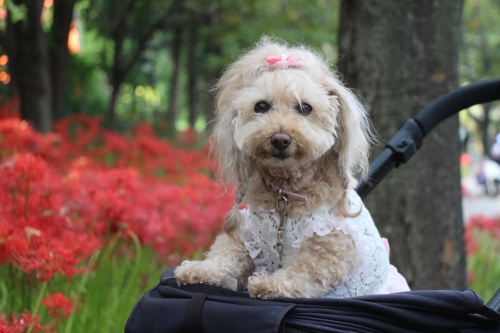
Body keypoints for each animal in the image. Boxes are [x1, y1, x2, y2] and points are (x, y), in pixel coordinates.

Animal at [174, 37, 408, 298]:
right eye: (261, 106)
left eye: (305, 108)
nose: (280, 139)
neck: (285, 191)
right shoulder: (247, 235)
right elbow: (225, 255)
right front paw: (197, 269)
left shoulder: (328, 246)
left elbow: (301, 273)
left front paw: (268, 284)